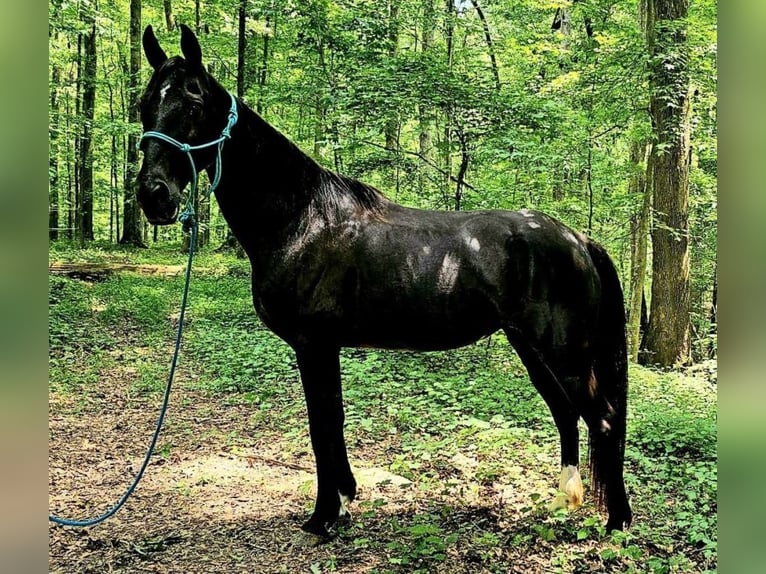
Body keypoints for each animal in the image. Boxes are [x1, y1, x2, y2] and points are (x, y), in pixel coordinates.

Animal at [135, 25, 632, 540]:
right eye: (144, 104)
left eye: (194, 103)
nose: (154, 196)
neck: (302, 219)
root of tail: (579, 240)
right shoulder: (322, 347)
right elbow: (330, 423)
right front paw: (344, 498)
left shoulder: (314, 344)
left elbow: (322, 426)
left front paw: (324, 516)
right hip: (532, 350)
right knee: (567, 413)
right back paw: (565, 498)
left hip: (564, 354)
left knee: (604, 420)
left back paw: (616, 522)